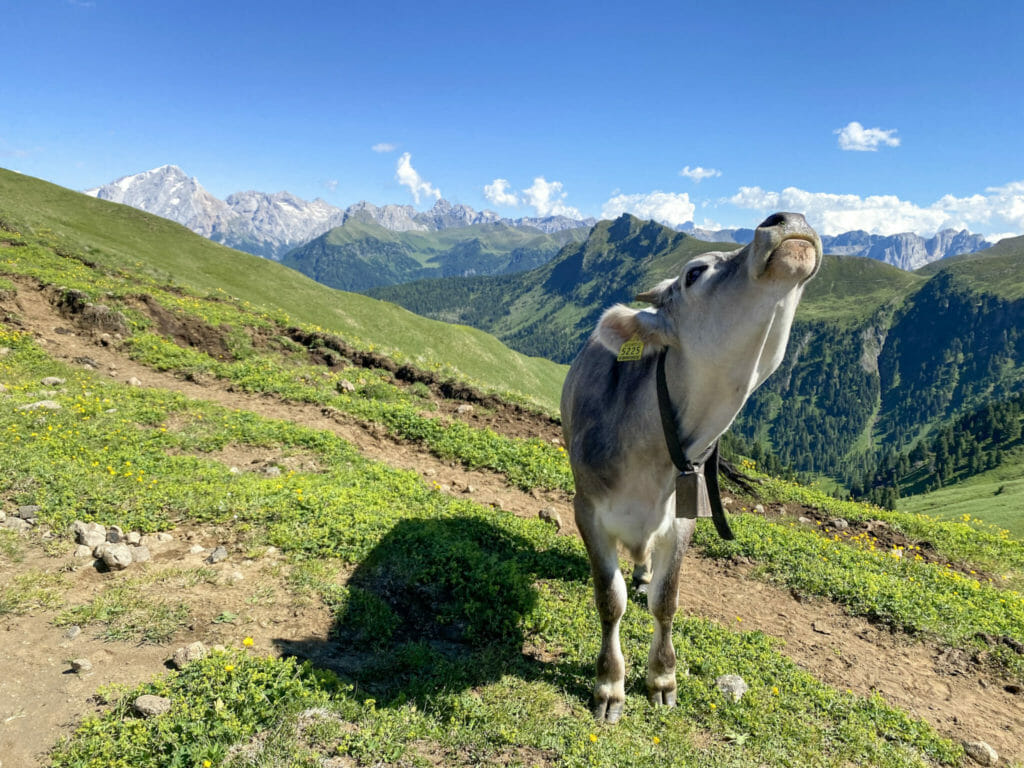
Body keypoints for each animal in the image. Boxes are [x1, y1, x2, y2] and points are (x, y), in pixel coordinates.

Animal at [560, 212, 821, 722]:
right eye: (696, 272)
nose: (789, 218)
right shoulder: (588, 511)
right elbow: (609, 600)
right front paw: (609, 685)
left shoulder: (682, 519)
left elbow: (666, 600)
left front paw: (663, 678)